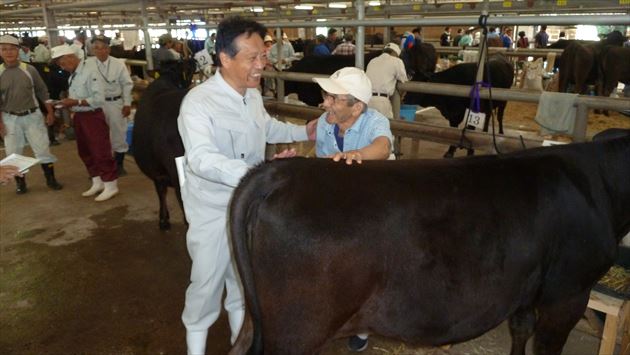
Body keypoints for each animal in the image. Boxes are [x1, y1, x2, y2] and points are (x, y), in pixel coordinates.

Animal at [230, 129, 630, 355]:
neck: (600, 183)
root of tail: (277, 172)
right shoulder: (568, 294)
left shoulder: (525, 291)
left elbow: (520, 333)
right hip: (298, 328)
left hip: (259, 316)